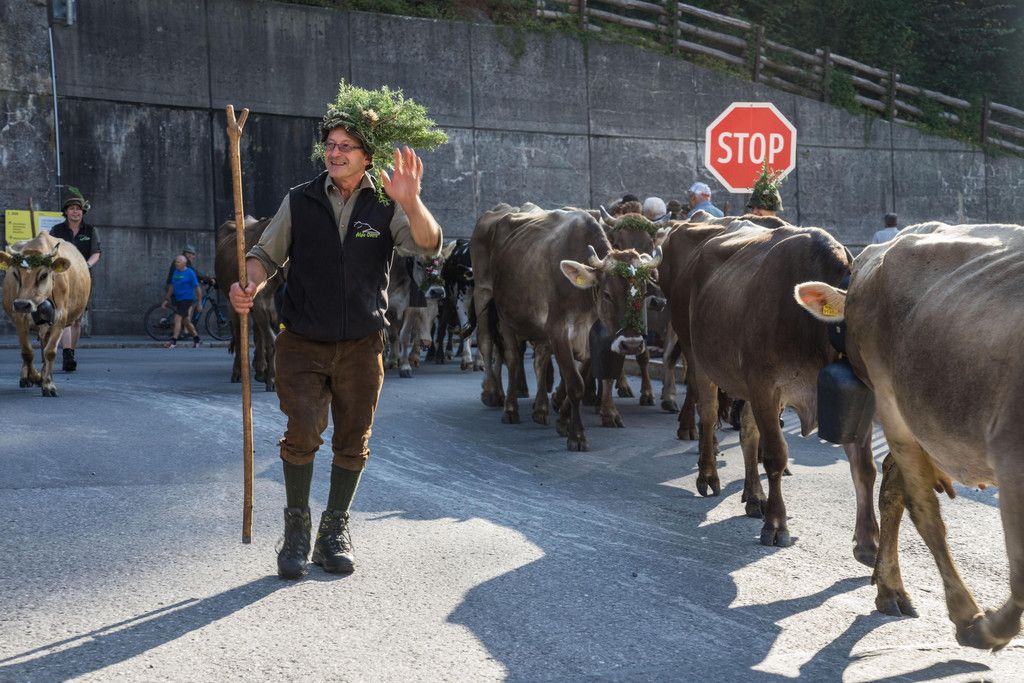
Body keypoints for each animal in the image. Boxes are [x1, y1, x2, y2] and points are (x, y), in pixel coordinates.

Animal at [1, 232, 91, 397]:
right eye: (16, 274)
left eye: (43, 275)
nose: (22, 304)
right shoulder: (20, 318)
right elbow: (27, 352)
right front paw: (35, 377)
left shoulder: (60, 317)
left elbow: (50, 351)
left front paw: (48, 384)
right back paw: (27, 378)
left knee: (45, 345)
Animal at [214, 216, 282, 392]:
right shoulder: (259, 304)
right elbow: (272, 341)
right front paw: (272, 379)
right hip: (232, 303)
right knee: (239, 336)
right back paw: (239, 372)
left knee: (256, 333)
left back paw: (259, 369)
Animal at [472, 203, 661, 450]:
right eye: (607, 294)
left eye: (642, 291)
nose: (631, 344)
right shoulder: (558, 330)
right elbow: (574, 382)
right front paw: (576, 435)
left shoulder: (594, 336)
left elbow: (582, 374)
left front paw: (562, 420)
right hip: (493, 304)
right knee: (502, 353)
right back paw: (503, 402)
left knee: (540, 360)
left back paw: (540, 409)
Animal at [666, 217, 878, 561]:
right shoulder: (766, 387)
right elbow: (776, 455)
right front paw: (777, 525)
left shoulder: (853, 402)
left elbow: (865, 467)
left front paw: (869, 542)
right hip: (697, 356)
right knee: (708, 416)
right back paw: (708, 475)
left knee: (748, 434)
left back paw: (754, 495)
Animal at [795, 222, 1024, 651]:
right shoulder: (1011, 462)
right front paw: (986, 627)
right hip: (892, 403)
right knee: (920, 506)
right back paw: (963, 615)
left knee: (893, 486)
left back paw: (889, 587)